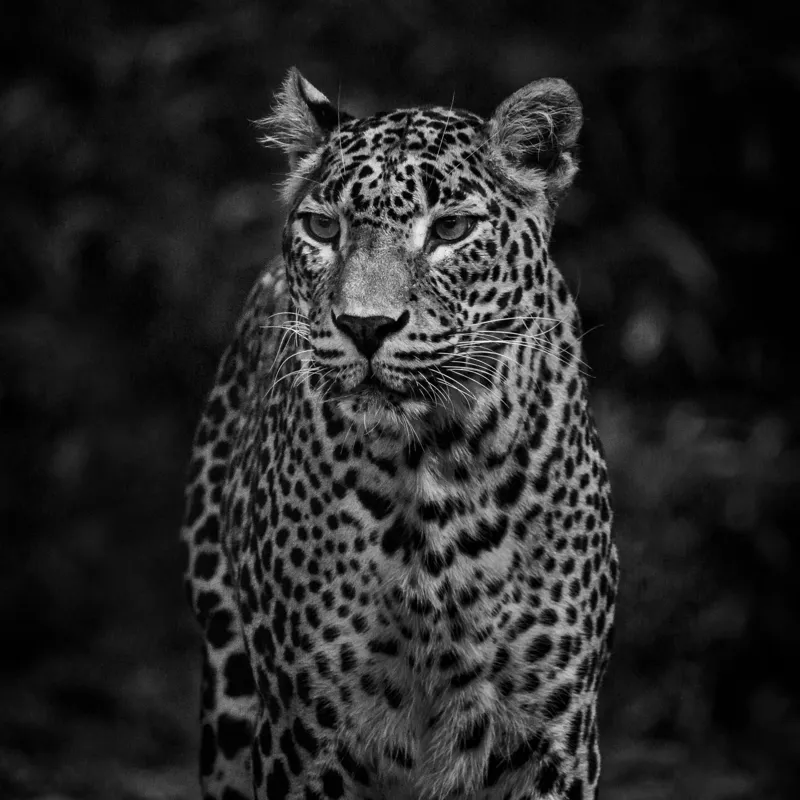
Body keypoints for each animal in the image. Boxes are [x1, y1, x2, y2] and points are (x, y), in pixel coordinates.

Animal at [180, 67, 618, 800]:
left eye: (451, 228)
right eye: (323, 227)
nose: (365, 325)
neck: (436, 458)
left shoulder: (555, 733)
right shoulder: (307, 735)